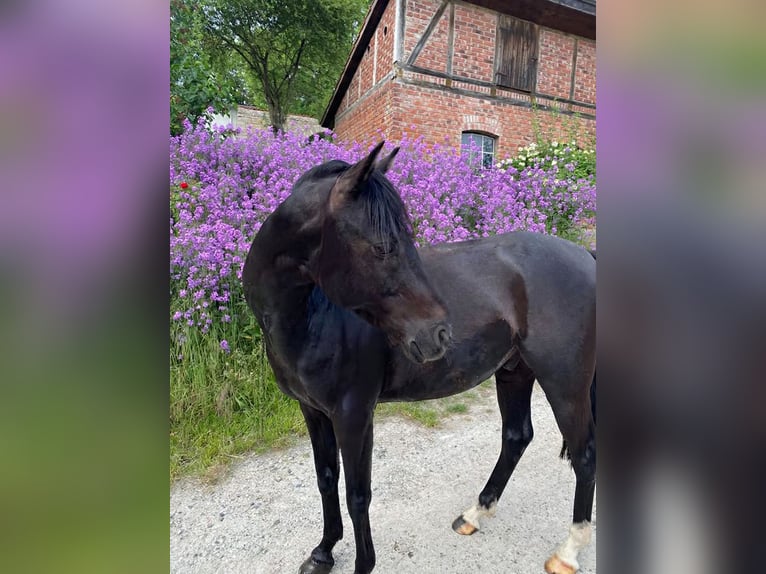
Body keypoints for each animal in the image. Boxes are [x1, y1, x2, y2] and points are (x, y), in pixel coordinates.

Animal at [242, 142, 596, 574]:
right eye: (382, 247)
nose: (438, 335)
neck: (311, 316)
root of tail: (586, 256)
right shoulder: (313, 411)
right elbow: (325, 479)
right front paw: (323, 552)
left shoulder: (354, 414)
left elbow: (358, 495)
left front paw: (361, 563)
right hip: (515, 371)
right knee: (517, 437)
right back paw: (475, 514)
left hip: (565, 383)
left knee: (584, 455)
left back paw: (568, 552)